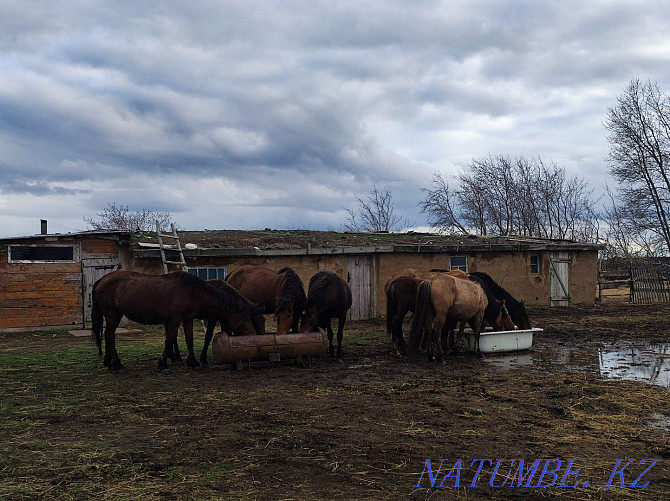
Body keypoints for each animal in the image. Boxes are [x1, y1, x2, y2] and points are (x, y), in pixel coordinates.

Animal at [90, 270, 268, 372]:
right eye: (245, 320)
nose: (255, 335)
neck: (192, 292)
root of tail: (101, 280)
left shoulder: (187, 319)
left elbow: (189, 339)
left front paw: (193, 362)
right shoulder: (176, 319)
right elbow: (169, 339)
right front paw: (163, 364)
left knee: (108, 335)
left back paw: (110, 362)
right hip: (112, 315)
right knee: (110, 336)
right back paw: (117, 364)